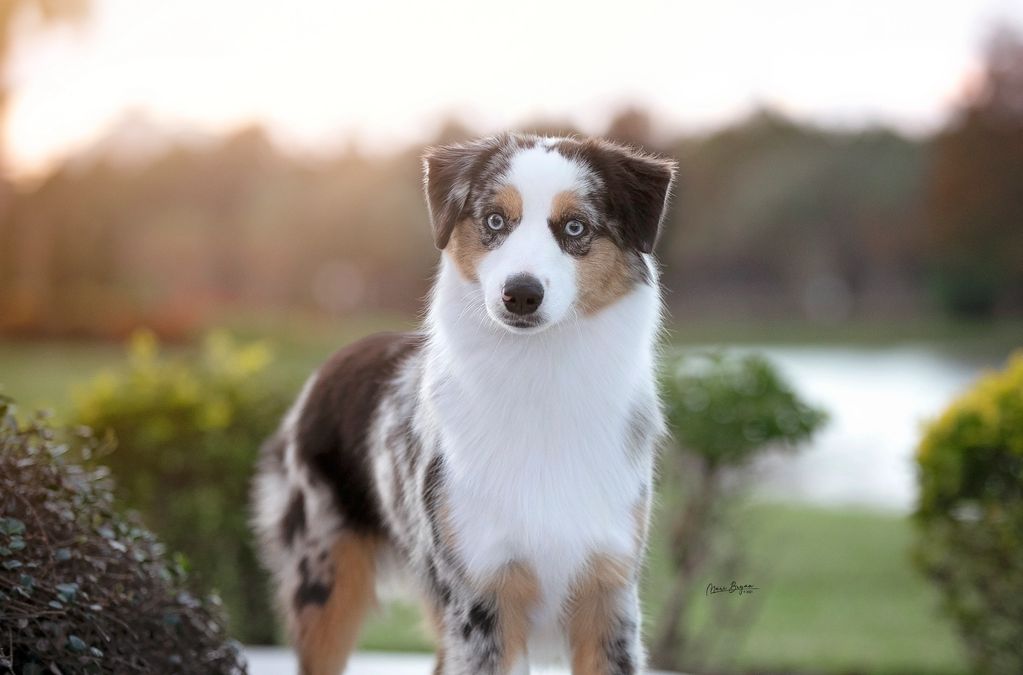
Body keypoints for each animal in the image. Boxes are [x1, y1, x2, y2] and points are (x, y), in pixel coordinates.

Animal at [251, 132, 675, 675]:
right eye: (495, 221)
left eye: (575, 226)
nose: (521, 294)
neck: (539, 377)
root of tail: (332, 363)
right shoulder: (482, 596)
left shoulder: (609, 591)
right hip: (325, 580)